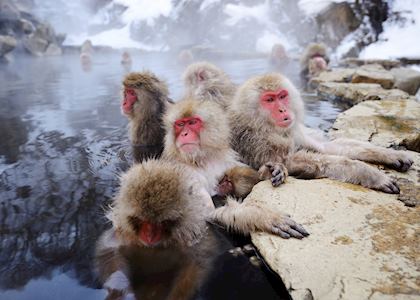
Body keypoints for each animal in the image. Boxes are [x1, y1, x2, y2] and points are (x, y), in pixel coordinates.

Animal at [161, 97, 308, 238]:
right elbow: (207, 214)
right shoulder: (185, 173)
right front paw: (262, 216)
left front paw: (272, 170)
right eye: (180, 124)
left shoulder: (228, 159)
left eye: (192, 123)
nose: (184, 134)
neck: (202, 159)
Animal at [228, 73, 412, 195]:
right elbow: (292, 162)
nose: (282, 110)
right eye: (269, 100)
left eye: (281, 96)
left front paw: (392, 154)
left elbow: (326, 146)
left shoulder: (295, 131)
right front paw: (370, 174)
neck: (260, 124)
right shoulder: (255, 141)